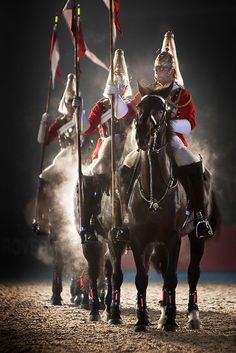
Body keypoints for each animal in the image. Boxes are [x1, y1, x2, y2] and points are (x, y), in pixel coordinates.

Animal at [108, 84, 220, 332]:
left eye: (161, 110)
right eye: (139, 107)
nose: (141, 135)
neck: (154, 193)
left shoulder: (173, 238)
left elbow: (172, 277)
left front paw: (170, 321)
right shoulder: (139, 238)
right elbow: (142, 278)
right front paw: (142, 320)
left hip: (196, 237)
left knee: (192, 273)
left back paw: (192, 316)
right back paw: (162, 313)